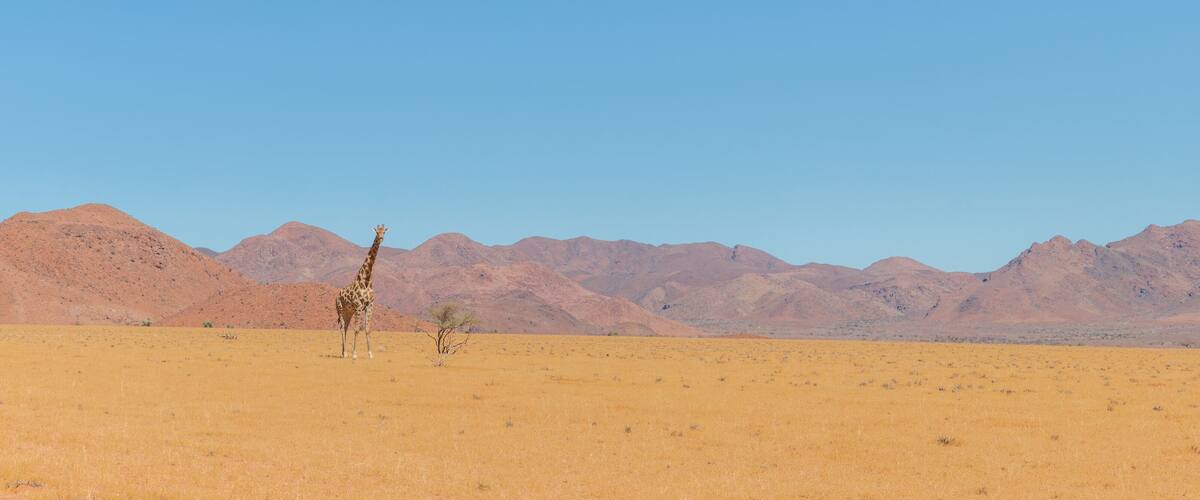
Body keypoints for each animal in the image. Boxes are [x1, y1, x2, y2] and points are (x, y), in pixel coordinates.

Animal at [336, 224, 387, 359]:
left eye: (384, 232)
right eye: (376, 232)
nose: (381, 238)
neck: (366, 280)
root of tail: (336, 296)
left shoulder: (370, 305)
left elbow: (367, 329)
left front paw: (370, 354)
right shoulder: (359, 306)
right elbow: (357, 329)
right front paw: (354, 354)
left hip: (348, 312)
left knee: (345, 327)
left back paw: (343, 352)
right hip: (340, 309)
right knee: (342, 327)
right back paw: (345, 353)